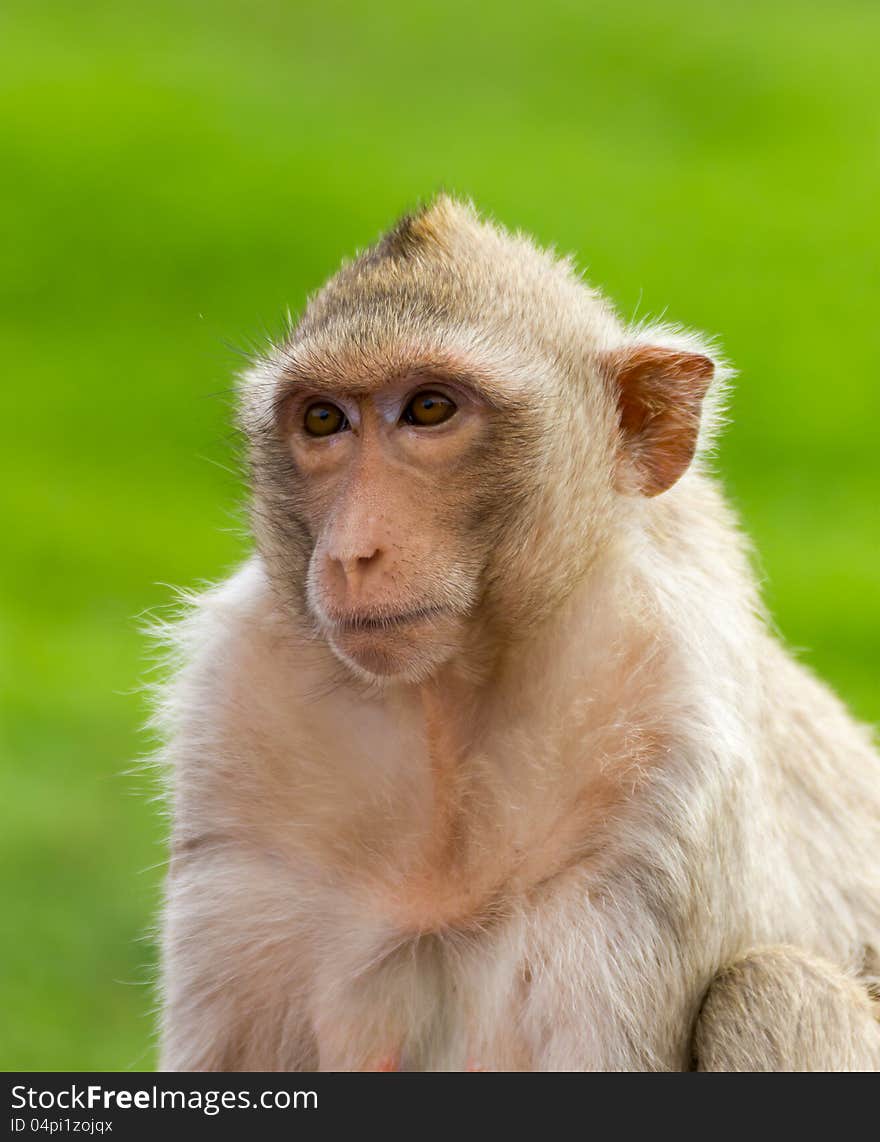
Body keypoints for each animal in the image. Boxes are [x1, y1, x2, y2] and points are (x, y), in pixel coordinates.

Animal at [155, 196, 880, 1068]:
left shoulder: (663, 761)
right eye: (324, 419)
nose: (352, 551)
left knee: (772, 986)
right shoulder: (235, 726)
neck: (445, 709)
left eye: (430, 409)